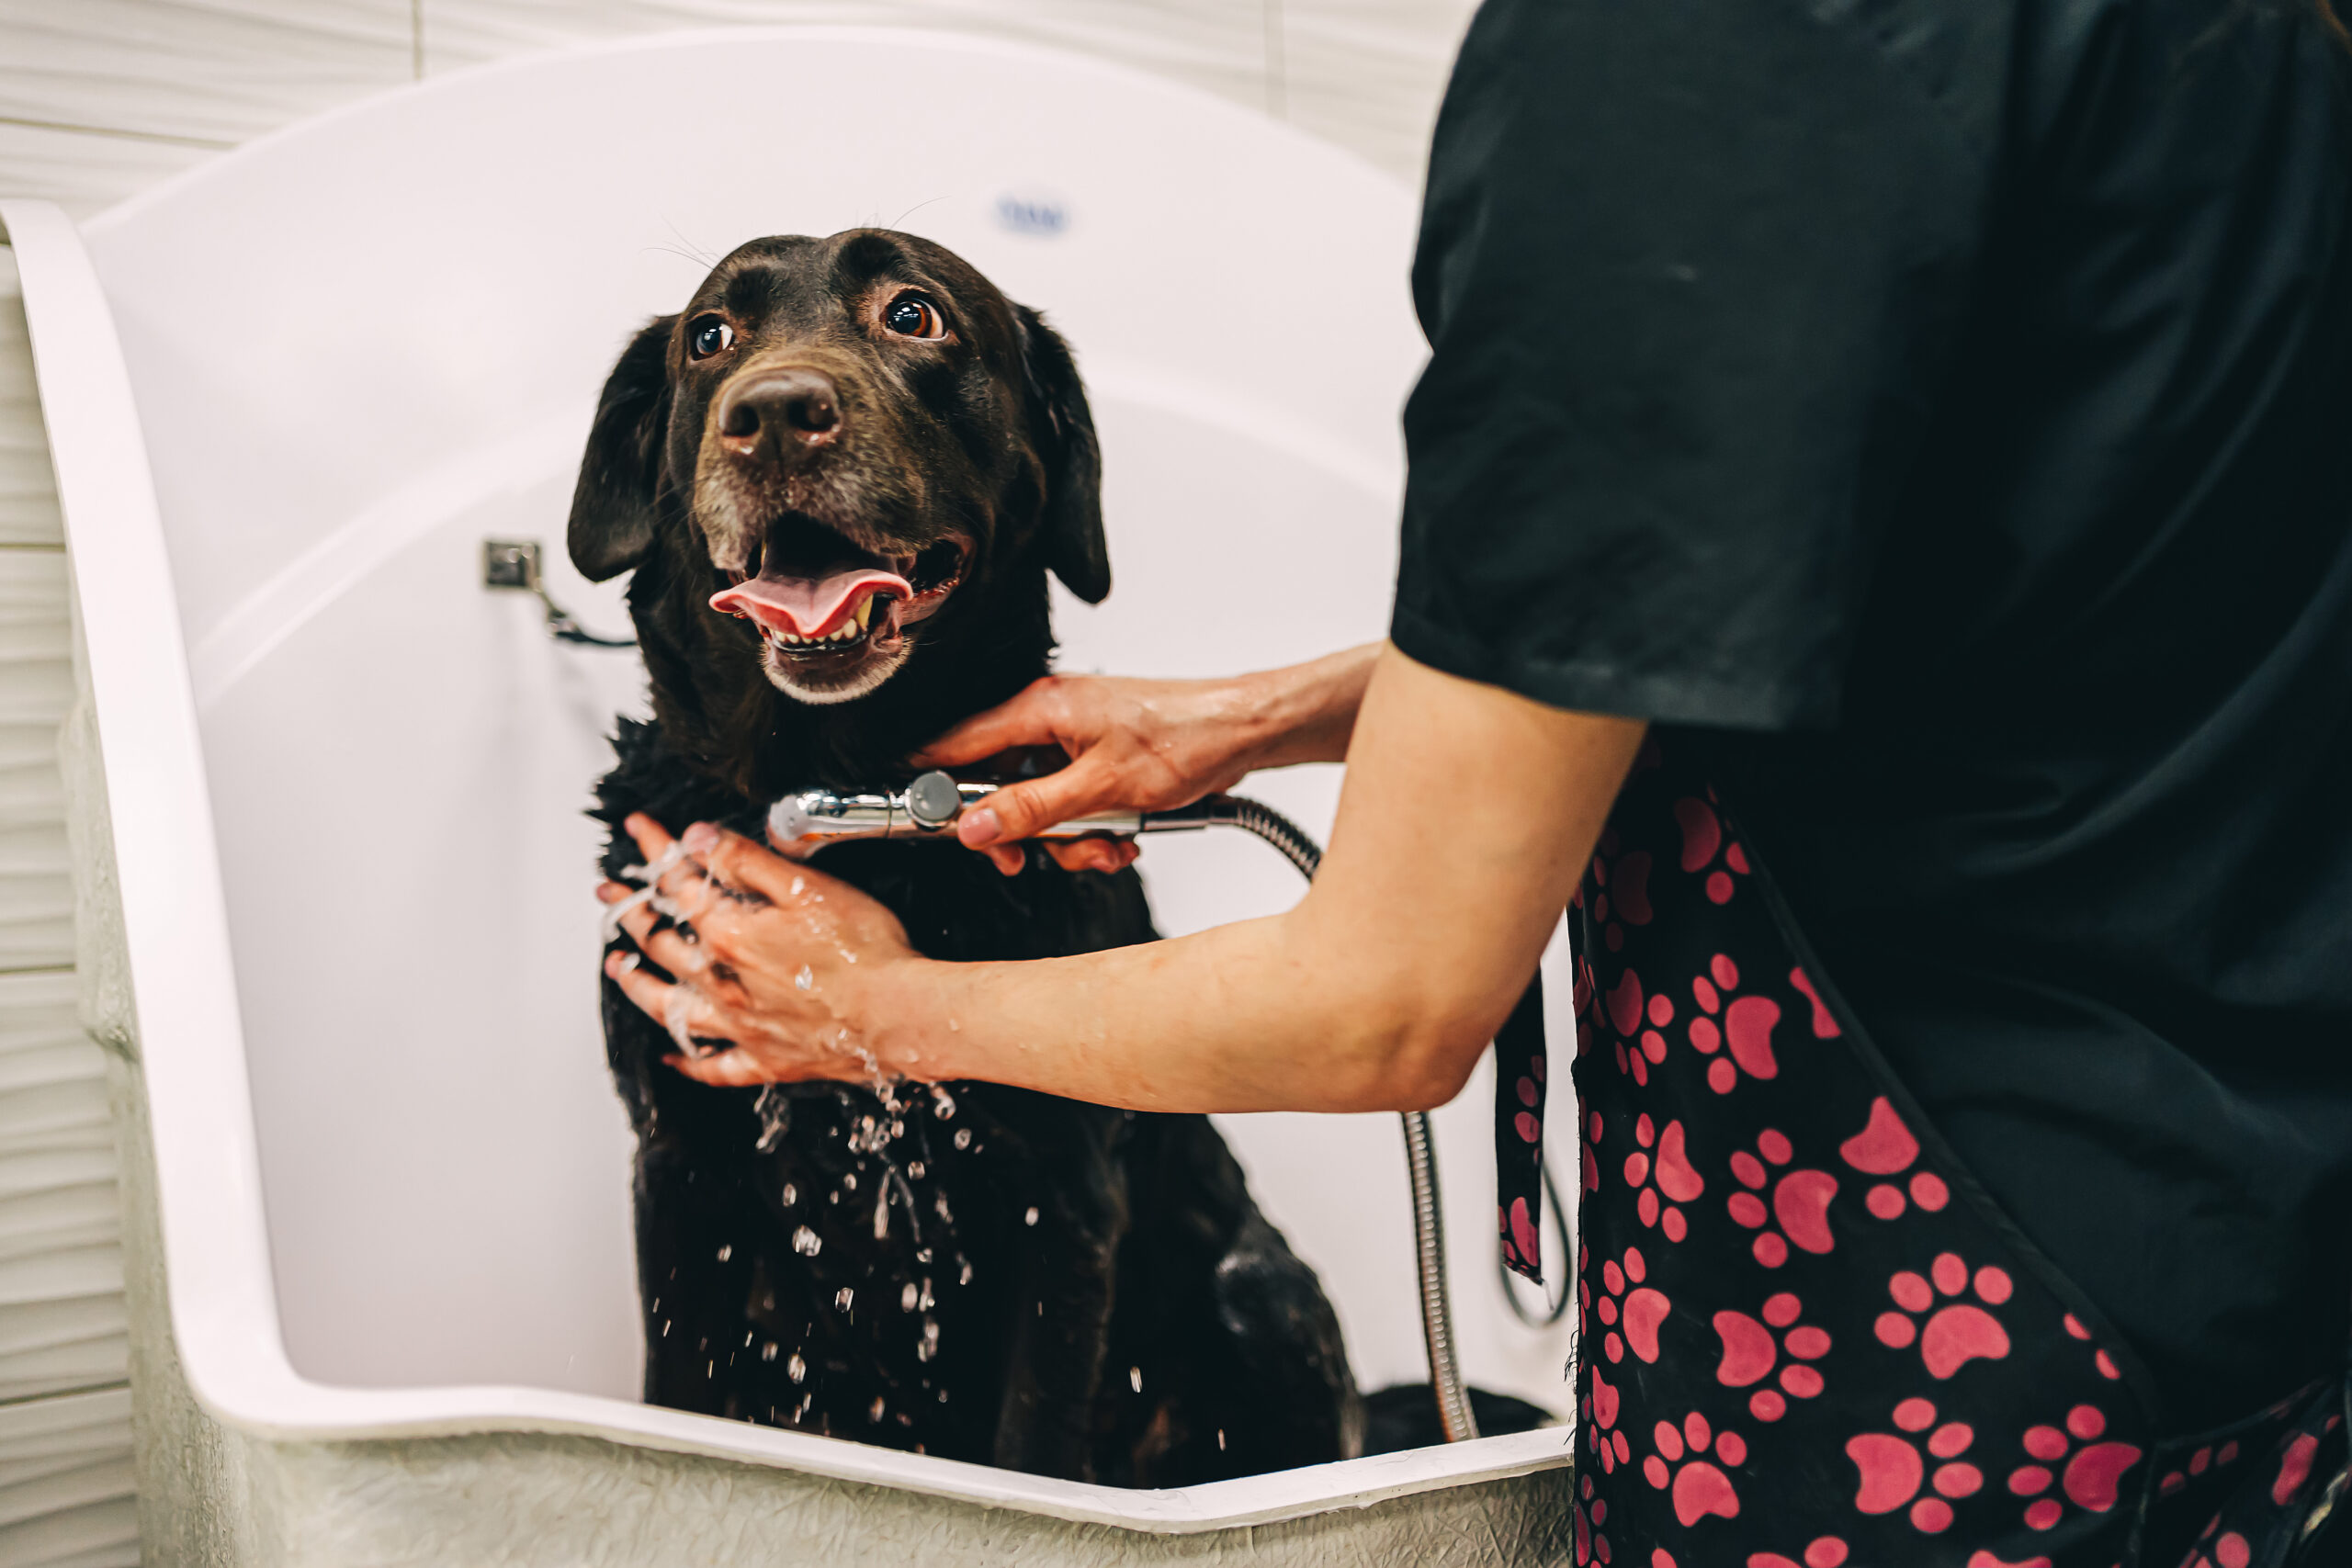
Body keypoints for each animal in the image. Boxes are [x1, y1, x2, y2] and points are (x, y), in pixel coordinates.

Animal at [564, 230, 1363, 1485]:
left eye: (914, 314)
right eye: (710, 337)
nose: (773, 413)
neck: (842, 793)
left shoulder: (1061, 1203)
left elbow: (1032, 1451)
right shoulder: (680, 1167)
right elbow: (678, 1401)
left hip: (1263, 1296)